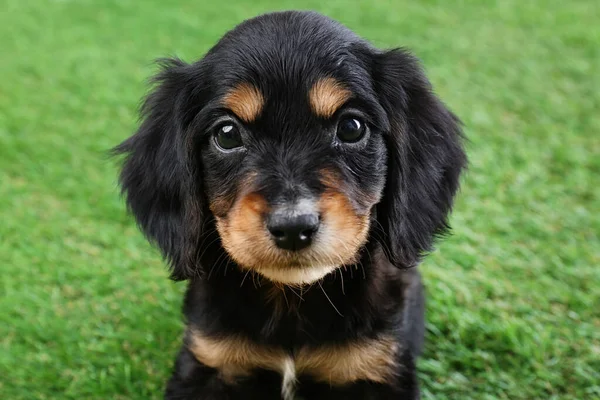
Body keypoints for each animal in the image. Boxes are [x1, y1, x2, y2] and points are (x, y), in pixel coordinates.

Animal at [115, 10, 466, 400]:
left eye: (352, 127)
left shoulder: (375, 366)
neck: (291, 301)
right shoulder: (210, 360)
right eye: (227, 134)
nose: (293, 227)